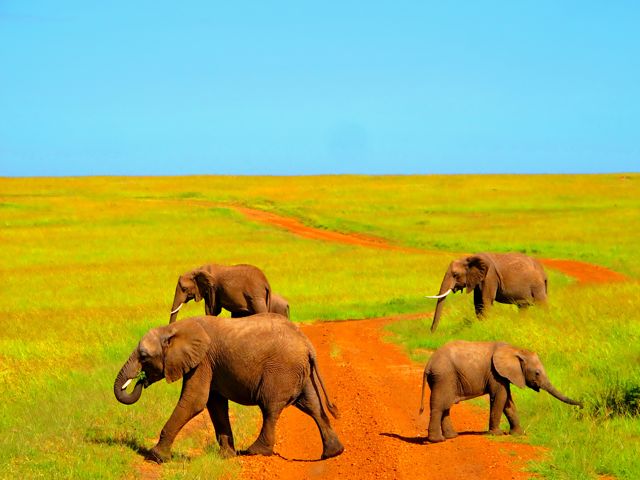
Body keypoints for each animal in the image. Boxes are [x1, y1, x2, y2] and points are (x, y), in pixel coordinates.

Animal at [115, 314, 344, 464]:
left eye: (144, 356)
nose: (140, 380)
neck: (174, 328)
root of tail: (308, 345)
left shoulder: (203, 361)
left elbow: (195, 401)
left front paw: (155, 456)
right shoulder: (211, 365)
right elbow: (215, 404)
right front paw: (226, 456)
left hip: (282, 371)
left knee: (270, 407)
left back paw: (254, 451)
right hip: (300, 372)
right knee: (312, 406)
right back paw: (333, 453)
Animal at [420, 340, 580, 444]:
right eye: (537, 373)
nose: (582, 405)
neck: (516, 350)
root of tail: (429, 363)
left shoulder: (503, 375)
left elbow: (508, 402)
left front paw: (518, 434)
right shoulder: (495, 374)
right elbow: (500, 398)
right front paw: (497, 434)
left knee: (446, 407)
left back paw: (451, 437)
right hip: (443, 377)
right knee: (440, 406)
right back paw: (437, 441)